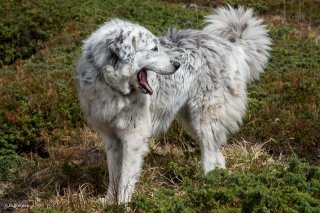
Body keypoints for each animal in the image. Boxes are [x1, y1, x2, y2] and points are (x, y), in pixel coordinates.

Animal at [76, 6, 272, 203]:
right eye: (154, 49)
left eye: (158, 47)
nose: (177, 64)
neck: (111, 85)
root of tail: (233, 48)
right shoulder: (110, 137)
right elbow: (114, 174)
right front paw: (108, 202)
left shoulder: (134, 136)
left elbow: (125, 177)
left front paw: (122, 205)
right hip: (193, 121)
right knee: (219, 157)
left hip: (204, 120)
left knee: (210, 157)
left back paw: (207, 188)